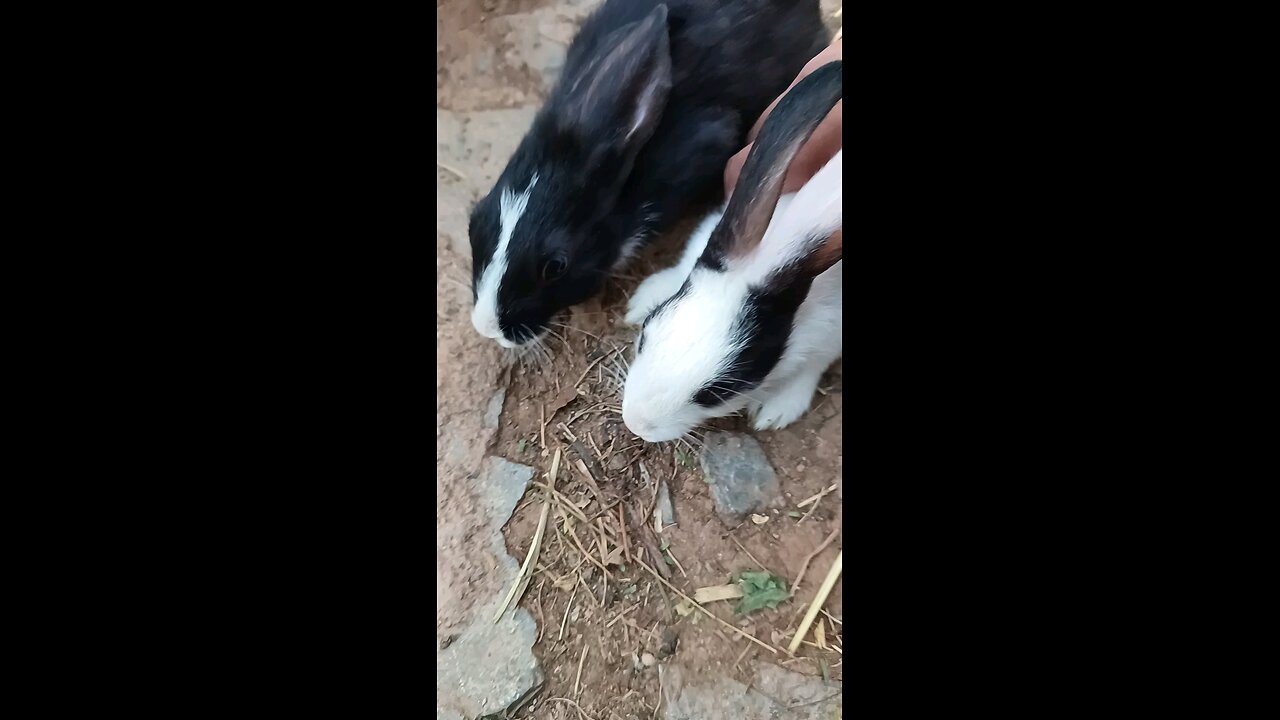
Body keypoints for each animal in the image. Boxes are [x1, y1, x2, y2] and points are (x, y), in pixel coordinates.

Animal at [619, 61, 839, 440]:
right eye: (645, 333)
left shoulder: (829, 335)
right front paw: (644, 297)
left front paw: (775, 410)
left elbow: (810, 368)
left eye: (716, 392)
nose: (636, 423)